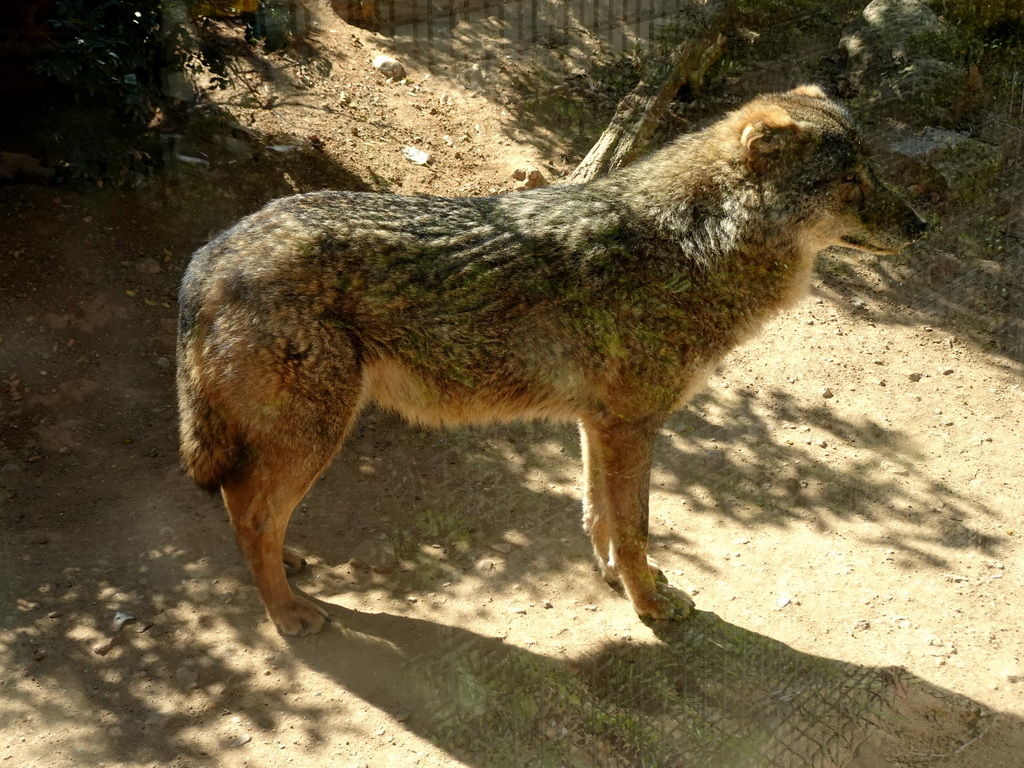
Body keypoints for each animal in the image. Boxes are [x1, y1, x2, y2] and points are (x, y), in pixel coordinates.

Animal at [178, 85, 929, 638]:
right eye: (852, 180)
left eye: (874, 170)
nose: (923, 225)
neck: (695, 245)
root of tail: (210, 253)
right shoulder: (631, 426)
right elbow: (635, 527)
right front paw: (651, 608)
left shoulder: (600, 425)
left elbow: (601, 517)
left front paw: (619, 582)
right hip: (316, 435)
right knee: (249, 510)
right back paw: (286, 613)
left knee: (247, 505)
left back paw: (290, 567)